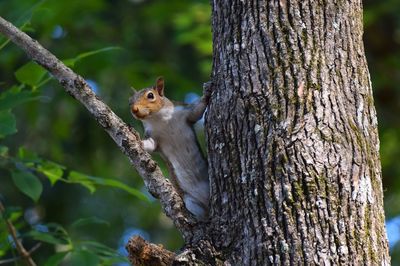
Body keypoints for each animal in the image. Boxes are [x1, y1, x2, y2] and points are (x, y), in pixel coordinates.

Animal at [130, 77, 211, 220]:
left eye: (150, 95)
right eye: (130, 101)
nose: (134, 109)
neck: (159, 119)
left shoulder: (184, 112)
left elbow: (197, 111)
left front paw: (206, 93)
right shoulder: (153, 136)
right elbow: (150, 145)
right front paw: (137, 138)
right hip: (192, 202)